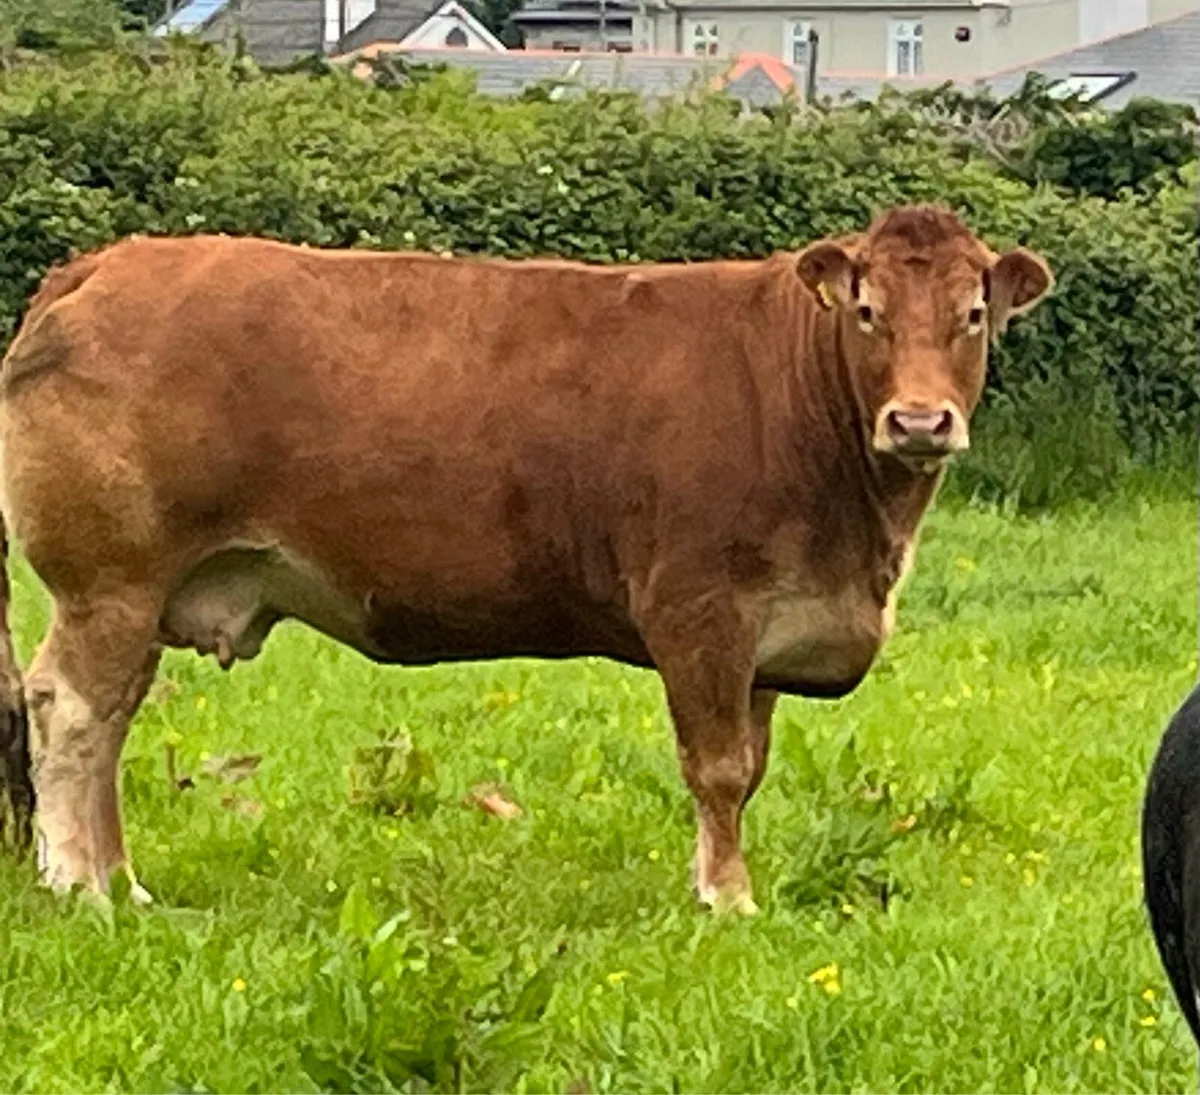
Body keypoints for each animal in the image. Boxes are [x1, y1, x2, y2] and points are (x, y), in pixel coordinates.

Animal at [0, 204, 1052, 914]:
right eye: (868, 310)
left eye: (972, 314)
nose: (919, 420)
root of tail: (107, 264)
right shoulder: (699, 609)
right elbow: (715, 768)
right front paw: (728, 900)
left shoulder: (767, 633)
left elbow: (746, 769)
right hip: (110, 580)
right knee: (73, 712)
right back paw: (79, 884)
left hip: (144, 594)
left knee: (112, 720)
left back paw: (125, 883)